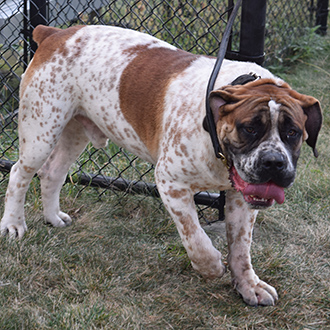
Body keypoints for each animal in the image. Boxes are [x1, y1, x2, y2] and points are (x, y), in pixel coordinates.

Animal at [0, 25, 322, 306]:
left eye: (293, 133)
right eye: (250, 128)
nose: (274, 162)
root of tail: (55, 33)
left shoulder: (241, 201)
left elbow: (241, 248)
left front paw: (248, 285)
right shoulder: (172, 184)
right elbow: (195, 237)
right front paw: (212, 267)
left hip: (74, 133)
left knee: (52, 173)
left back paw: (53, 217)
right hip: (41, 132)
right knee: (19, 174)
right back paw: (13, 224)